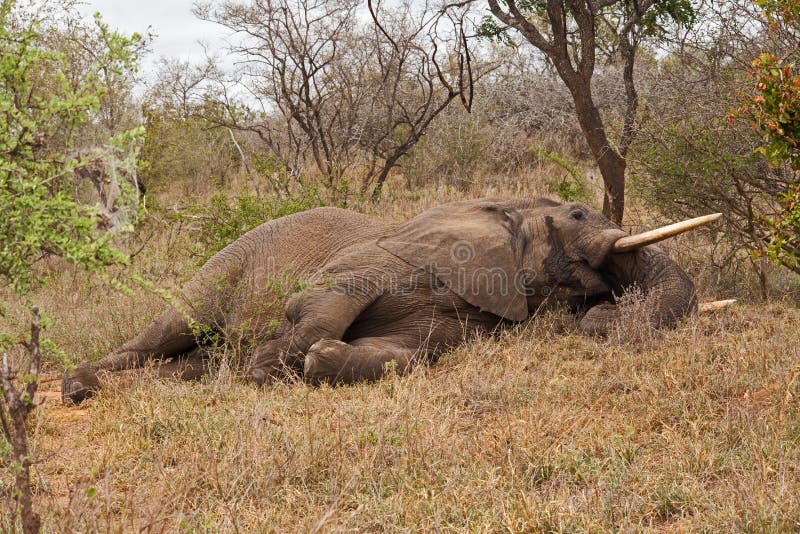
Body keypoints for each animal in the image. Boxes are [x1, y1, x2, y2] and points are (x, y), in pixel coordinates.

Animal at [62, 197, 704, 404]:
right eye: (576, 214)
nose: (602, 313)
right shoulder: (388, 255)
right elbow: (329, 293)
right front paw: (269, 367)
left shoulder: (470, 322)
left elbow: (409, 355)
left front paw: (319, 360)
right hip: (225, 264)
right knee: (170, 327)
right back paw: (76, 387)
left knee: (192, 361)